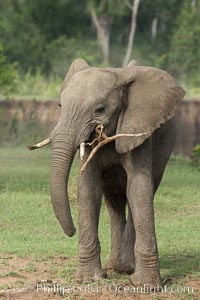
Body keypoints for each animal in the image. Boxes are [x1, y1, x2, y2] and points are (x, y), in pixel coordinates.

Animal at [28, 59, 185, 288]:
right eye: (60, 106)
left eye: (99, 110)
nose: (71, 232)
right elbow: (88, 188)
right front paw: (88, 279)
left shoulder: (139, 131)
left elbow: (139, 189)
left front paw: (146, 285)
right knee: (114, 200)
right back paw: (114, 266)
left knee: (138, 192)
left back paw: (124, 267)